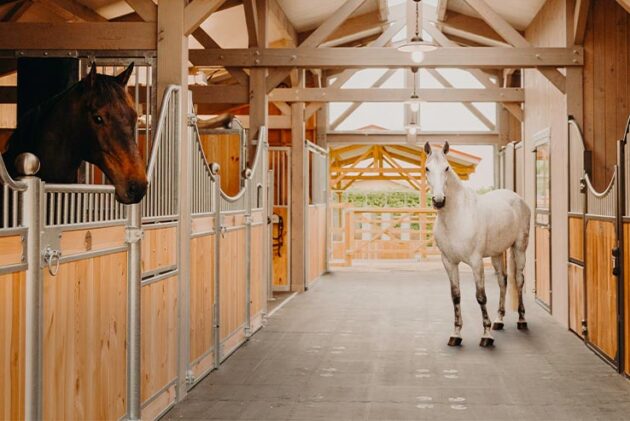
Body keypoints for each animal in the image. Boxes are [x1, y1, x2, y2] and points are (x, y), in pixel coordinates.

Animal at [424, 143, 532, 346]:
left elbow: (481, 296)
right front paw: (456, 334)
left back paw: (522, 320)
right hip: (497, 254)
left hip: (519, 248)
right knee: (503, 281)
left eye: (447, 168)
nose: (439, 200)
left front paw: (486, 335)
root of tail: (517, 198)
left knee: (519, 280)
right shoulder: (448, 262)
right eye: (427, 168)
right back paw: (499, 320)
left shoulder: (476, 262)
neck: (456, 217)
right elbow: (455, 296)